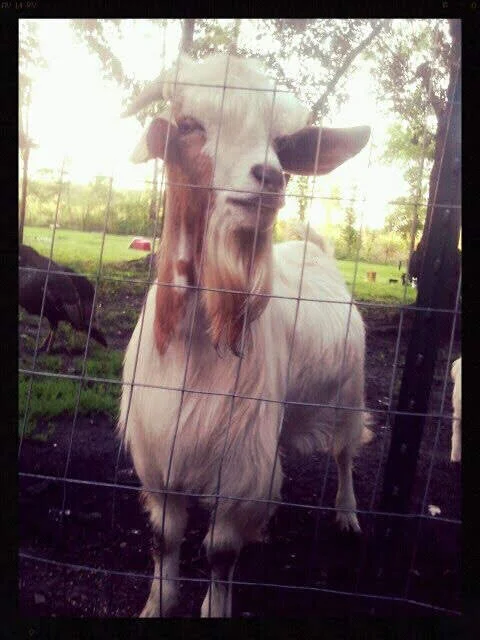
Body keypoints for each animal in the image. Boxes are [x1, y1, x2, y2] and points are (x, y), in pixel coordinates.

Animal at [119, 53, 371, 618]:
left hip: (348, 393)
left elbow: (220, 551)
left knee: (345, 452)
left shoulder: (239, 461)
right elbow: (165, 539)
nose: (270, 176)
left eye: (280, 142)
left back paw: (347, 513)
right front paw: (158, 603)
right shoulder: (159, 453)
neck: (196, 341)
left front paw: (215, 608)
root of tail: (315, 249)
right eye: (189, 125)